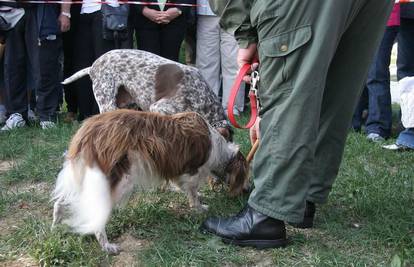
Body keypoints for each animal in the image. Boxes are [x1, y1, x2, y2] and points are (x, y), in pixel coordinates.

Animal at [50, 109, 247, 255]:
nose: (247, 190)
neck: (217, 146)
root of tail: (87, 131)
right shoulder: (192, 171)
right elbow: (193, 192)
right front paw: (199, 207)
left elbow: (184, 187)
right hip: (120, 181)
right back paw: (106, 245)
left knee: (63, 202)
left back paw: (55, 226)